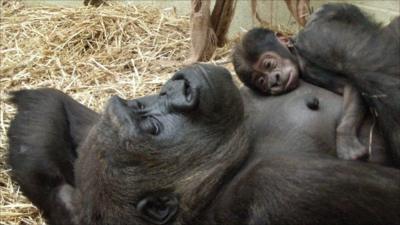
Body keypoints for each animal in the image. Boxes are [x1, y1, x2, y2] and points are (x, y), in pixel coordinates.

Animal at [6, 63, 400, 225]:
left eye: (139, 107)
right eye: (152, 128)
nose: (178, 88)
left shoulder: (96, 129)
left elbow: (51, 106)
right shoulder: (279, 184)